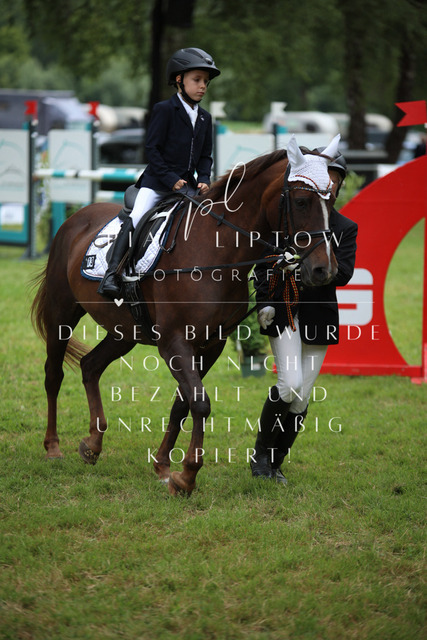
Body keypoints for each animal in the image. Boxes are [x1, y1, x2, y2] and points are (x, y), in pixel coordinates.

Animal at [31, 134, 340, 496]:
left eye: (333, 199)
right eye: (302, 201)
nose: (324, 270)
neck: (217, 250)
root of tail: (76, 217)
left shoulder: (211, 344)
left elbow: (184, 402)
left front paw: (165, 468)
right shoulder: (175, 342)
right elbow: (200, 402)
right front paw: (188, 475)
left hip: (125, 331)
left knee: (90, 366)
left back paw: (93, 444)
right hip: (61, 313)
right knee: (54, 374)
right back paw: (53, 447)